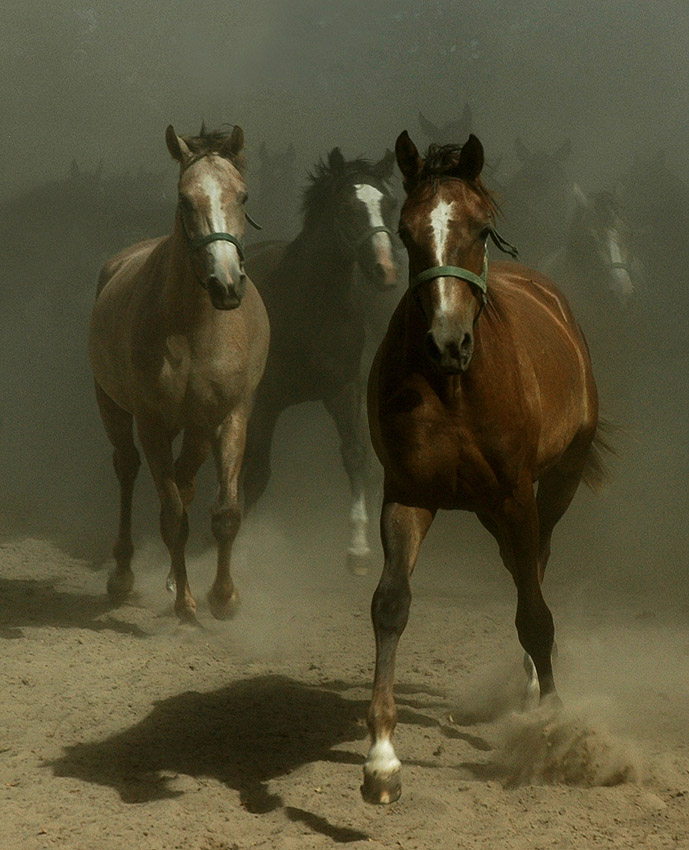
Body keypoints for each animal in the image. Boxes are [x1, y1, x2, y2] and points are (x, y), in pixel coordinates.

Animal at [86, 122, 268, 620]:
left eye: (242, 196)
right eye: (185, 199)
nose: (226, 285)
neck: (193, 327)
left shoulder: (229, 416)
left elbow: (224, 513)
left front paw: (223, 597)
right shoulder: (151, 423)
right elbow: (171, 516)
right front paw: (186, 603)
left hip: (196, 429)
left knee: (185, 483)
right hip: (113, 408)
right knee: (128, 469)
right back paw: (124, 574)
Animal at [243, 147, 398, 568]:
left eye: (389, 204)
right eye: (347, 208)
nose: (385, 271)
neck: (307, 304)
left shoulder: (343, 389)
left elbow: (356, 455)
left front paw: (359, 548)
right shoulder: (263, 401)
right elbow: (254, 473)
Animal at [362, 132, 604, 800]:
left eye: (480, 229)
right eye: (407, 230)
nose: (448, 343)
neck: (455, 390)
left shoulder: (518, 496)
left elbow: (537, 616)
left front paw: (553, 726)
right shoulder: (408, 493)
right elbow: (391, 605)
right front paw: (381, 760)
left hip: (555, 483)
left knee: (534, 569)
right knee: (520, 570)